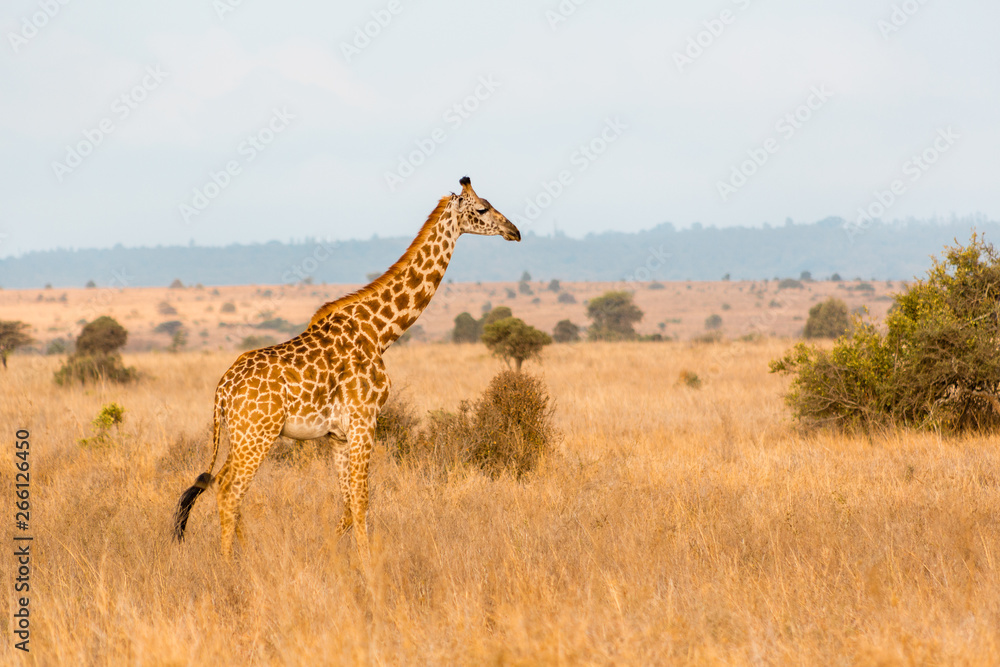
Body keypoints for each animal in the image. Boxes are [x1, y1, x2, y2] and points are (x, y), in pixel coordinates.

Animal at [173, 177, 520, 560]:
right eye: (483, 208)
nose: (514, 231)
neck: (379, 332)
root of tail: (222, 389)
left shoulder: (338, 435)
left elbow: (348, 503)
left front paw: (324, 553)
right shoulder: (364, 420)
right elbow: (362, 499)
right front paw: (367, 564)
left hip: (242, 435)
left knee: (224, 485)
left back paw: (248, 556)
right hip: (257, 434)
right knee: (229, 490)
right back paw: (229, 563)